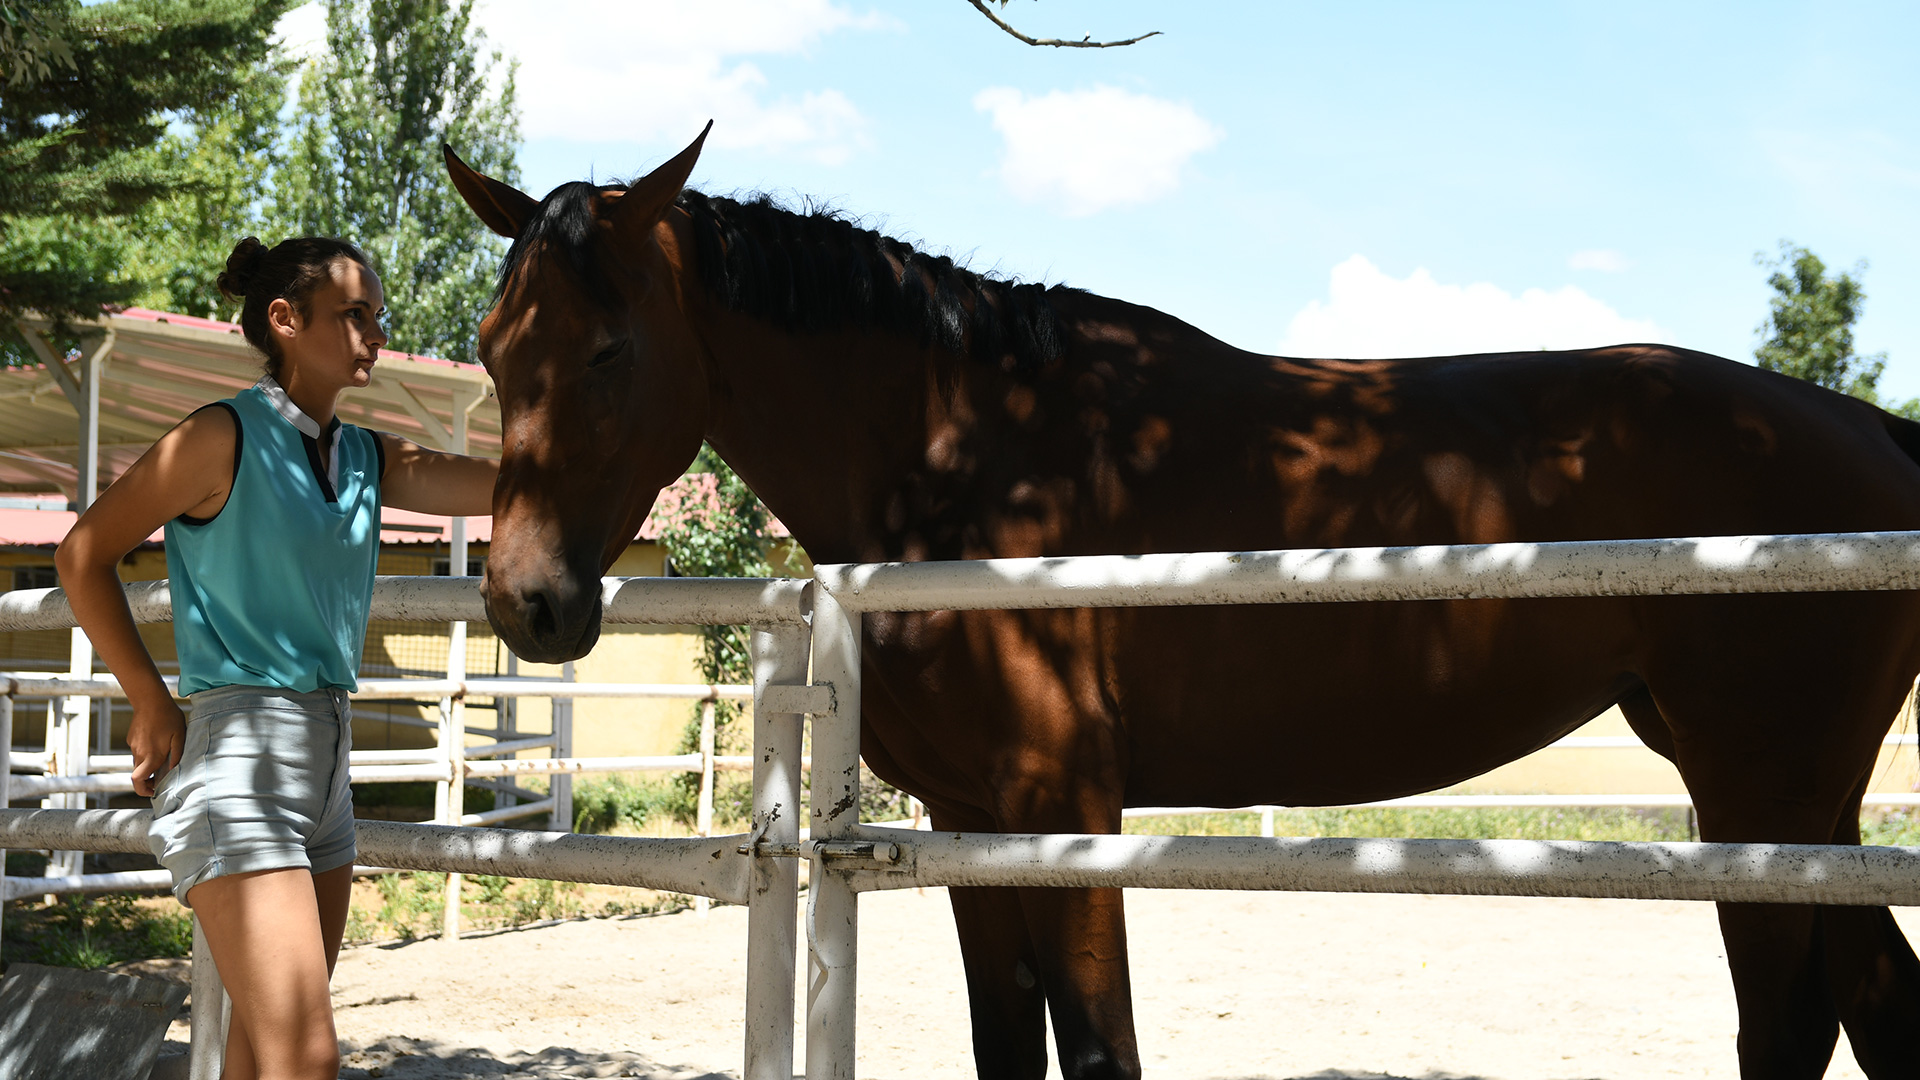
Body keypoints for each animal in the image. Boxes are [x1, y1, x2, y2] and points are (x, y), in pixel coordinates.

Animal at [443, 127, 1920, 1079]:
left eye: (610, 349)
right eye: (494, 348)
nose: (529, 599)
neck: (974, 452)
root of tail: (1870, 435)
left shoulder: (1067, 813)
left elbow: (1101, 1053)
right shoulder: (970, 821)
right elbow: (1009, 1049)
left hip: (1762, 796)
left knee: (1793, 1026)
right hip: (1796, 803)